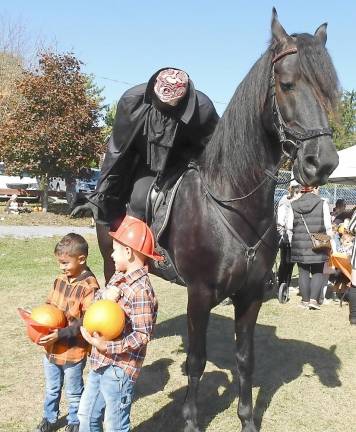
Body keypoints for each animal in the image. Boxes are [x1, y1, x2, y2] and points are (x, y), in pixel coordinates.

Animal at [99, 7, 340, 432]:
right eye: (287, 84)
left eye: (328, 91)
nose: (322, 162)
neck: (231, 203)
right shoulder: (199, 295)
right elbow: (196, 362)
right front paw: (191, 420)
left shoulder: (249, 297)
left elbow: (246, 360)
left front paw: (247, 419)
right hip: (112, 261)